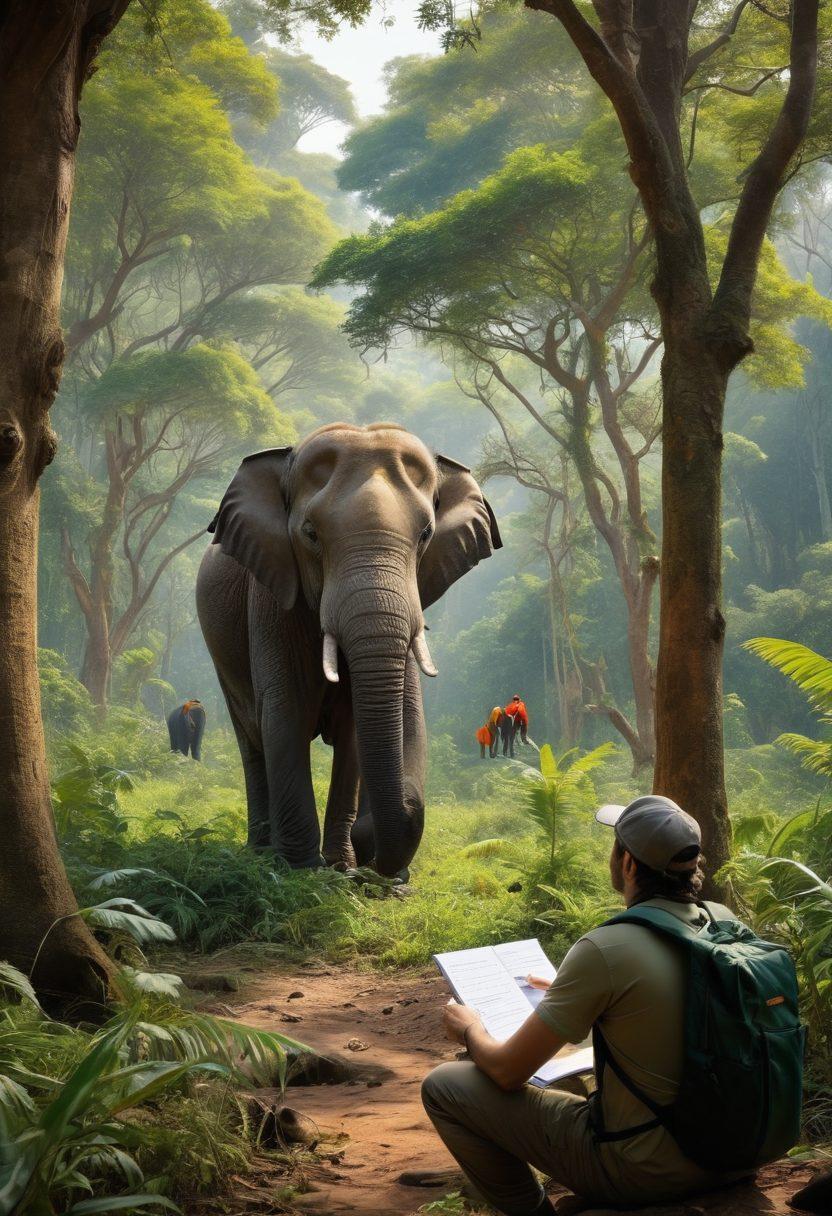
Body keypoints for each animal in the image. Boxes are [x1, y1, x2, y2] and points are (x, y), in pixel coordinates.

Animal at [196, 422, 501, 877]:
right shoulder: (271, 597)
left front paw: (344, 868)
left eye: (426, 535)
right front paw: (302, 871)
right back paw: (260, 855)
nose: (366, 839)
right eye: (310, 534)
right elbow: (285, 712)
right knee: (252, 738)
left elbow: (356, 727)